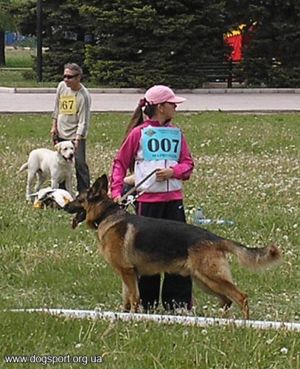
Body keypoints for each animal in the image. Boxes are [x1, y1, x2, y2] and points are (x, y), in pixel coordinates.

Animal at [65, 174, 282, 318]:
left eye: (78, 199)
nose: (64, 206)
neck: (107, 214)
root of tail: (214, 237)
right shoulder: (127, 274)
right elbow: (127, 298)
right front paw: (125, 316)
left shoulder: (127, 272)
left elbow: (134, 297)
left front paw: (133, 318)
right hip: (203, 280)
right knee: (227, 300)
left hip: (210, 277)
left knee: (240, 297)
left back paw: (244, 322)